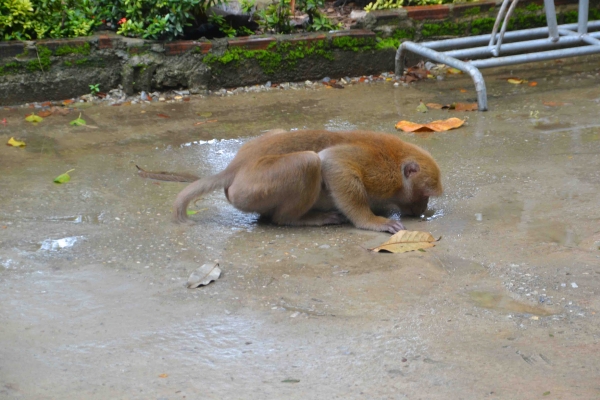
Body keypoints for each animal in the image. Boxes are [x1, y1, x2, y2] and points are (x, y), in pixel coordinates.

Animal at [172, 130, 440, 233]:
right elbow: (332, 162)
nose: (422, 209)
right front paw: (371, 221)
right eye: (425, 195)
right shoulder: (383, 173)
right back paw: (294, 219)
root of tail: (235, 166)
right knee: (309, 162)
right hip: (251, 189)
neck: (397, 159)